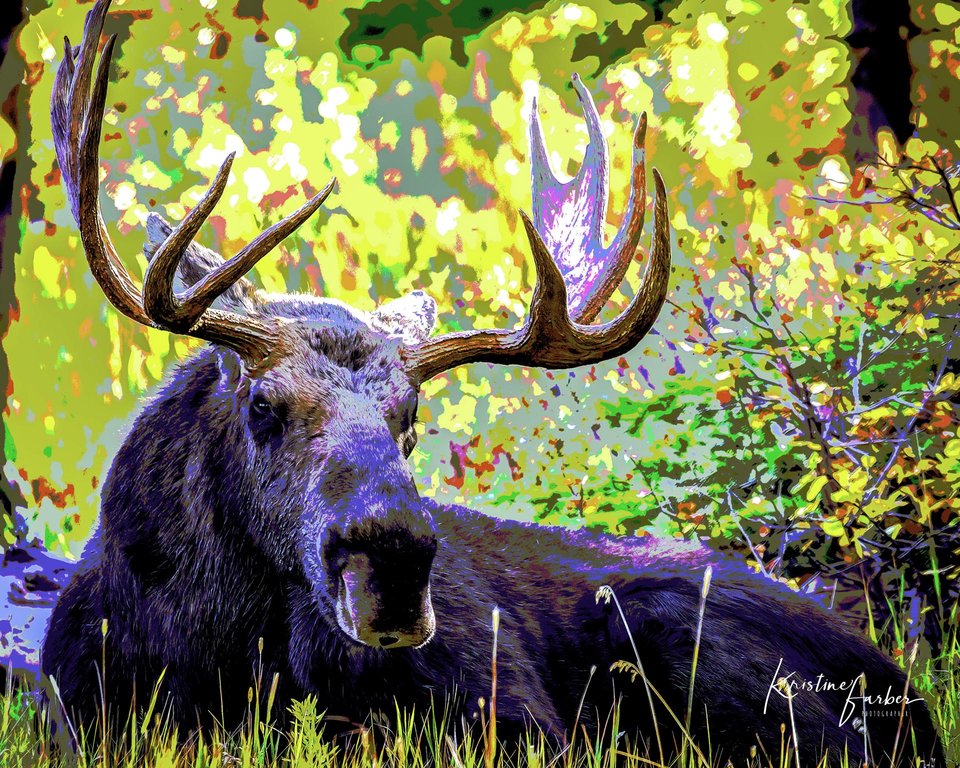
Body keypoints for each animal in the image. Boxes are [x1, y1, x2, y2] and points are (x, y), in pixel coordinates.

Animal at [39, 3, 944, 764]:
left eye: (410, 418)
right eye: (262, 405)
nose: (393, 563)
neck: (209, 657)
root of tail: (908, 694)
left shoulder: (516, 719)